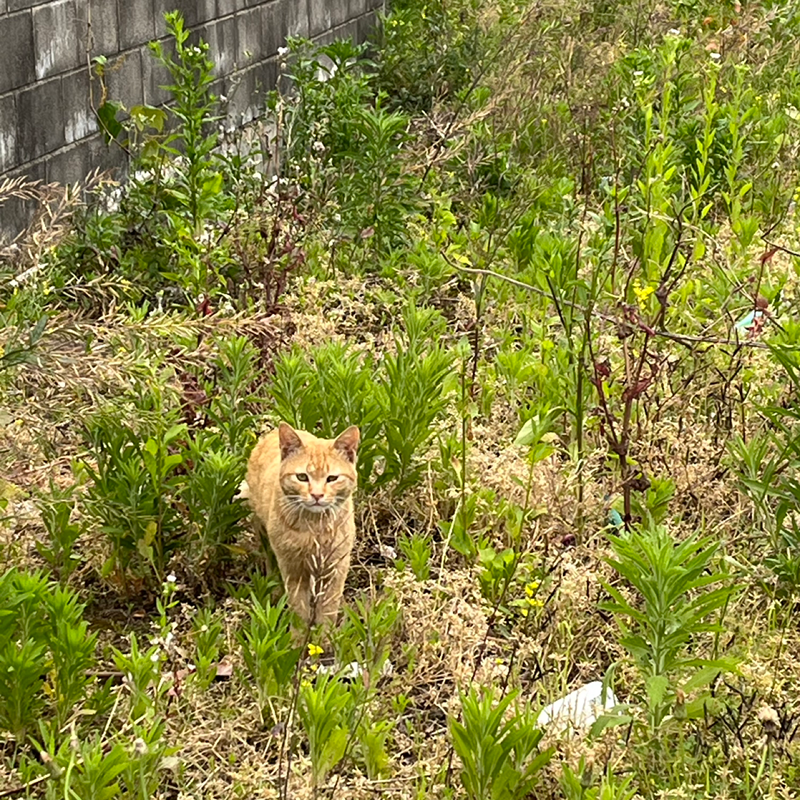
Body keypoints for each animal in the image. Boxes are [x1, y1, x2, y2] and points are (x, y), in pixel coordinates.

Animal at [245, 422, 360, 628]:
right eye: (302, 477)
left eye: (332, 478)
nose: (317, 495)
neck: (315, 529)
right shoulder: (293, 569)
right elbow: (299, 611)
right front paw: (298, 636)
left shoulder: (336, 568)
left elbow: (327, 612)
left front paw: (325, 635)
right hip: (264, 535)